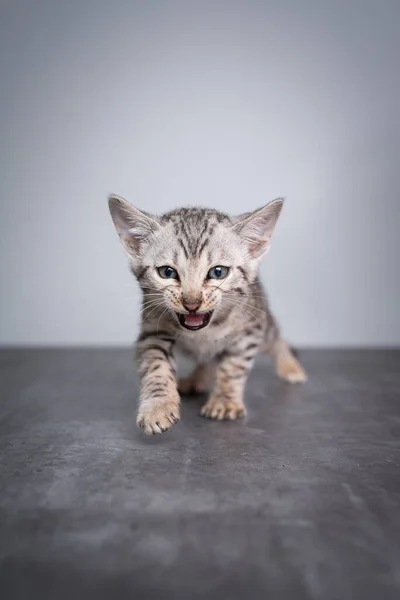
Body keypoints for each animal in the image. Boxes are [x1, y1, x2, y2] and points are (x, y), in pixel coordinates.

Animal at [108, 195, 308, 434]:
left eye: (218, 272)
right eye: (167, 272)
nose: (192, 303)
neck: (204, 332)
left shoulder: (248, 332)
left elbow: (233, 366)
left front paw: (224, 400)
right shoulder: (152, 331)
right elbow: (157, 367)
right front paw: (158, 407)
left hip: (262, 320)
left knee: (277, 338)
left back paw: (290, 366)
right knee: (208, 358)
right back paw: (197, 378)